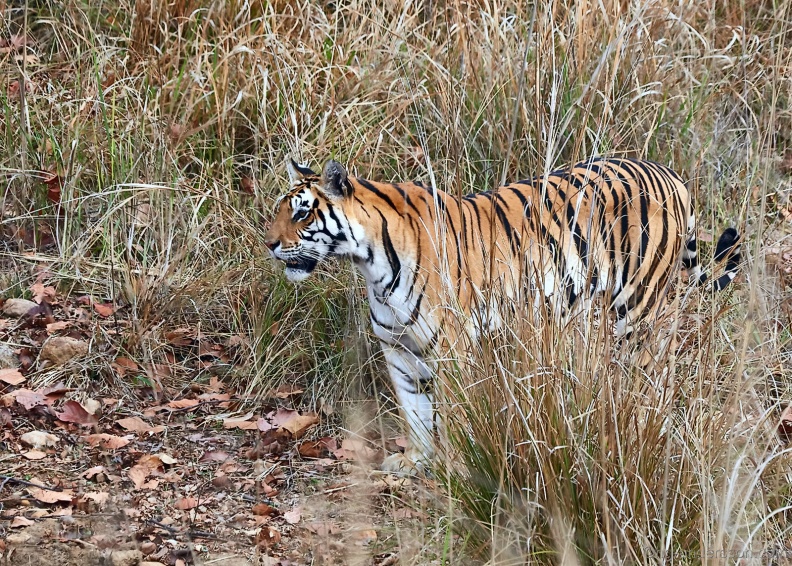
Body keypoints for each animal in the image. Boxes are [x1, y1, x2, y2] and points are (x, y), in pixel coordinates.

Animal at [264, 156, 744, 474]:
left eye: (302, 212)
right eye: (280, 209)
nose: (269, 244)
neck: (371, 264)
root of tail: (671, 175)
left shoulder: (452, 350)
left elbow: (451, 417)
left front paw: (453, 469)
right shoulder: (399, 349)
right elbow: (414, 411)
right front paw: (416, 462)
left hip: (639, 309)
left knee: (655, 373)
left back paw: (642, 425)